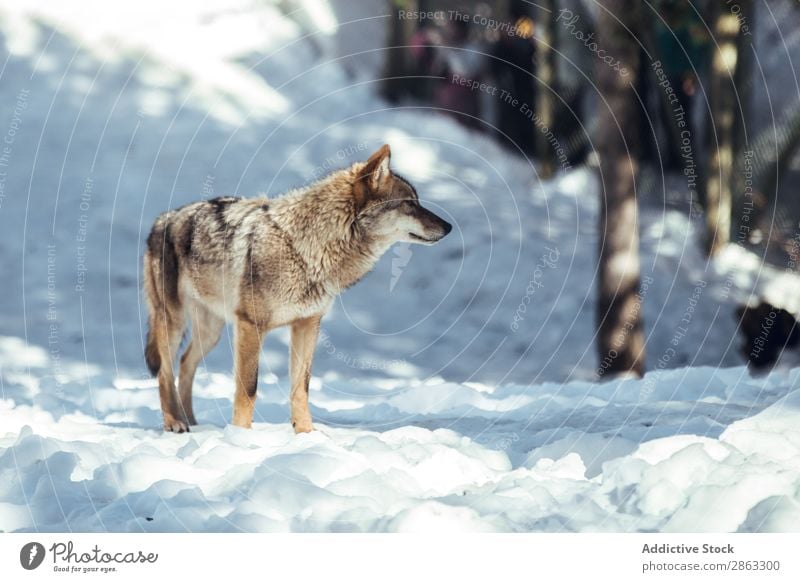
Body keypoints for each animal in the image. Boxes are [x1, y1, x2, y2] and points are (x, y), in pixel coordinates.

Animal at [143, 147, 450, 434]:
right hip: (174, 322)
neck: (307, 248)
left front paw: (306, 436)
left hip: (211, 332)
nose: (449, 226)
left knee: (185, 363)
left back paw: (193, 422)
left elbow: (301, 388)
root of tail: (163, 218)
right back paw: (175, 423)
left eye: (417, 201)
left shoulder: (307, 324)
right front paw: (241, 437)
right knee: (164, 372)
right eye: (409, 204)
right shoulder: (250, 326)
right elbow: (248, 390)